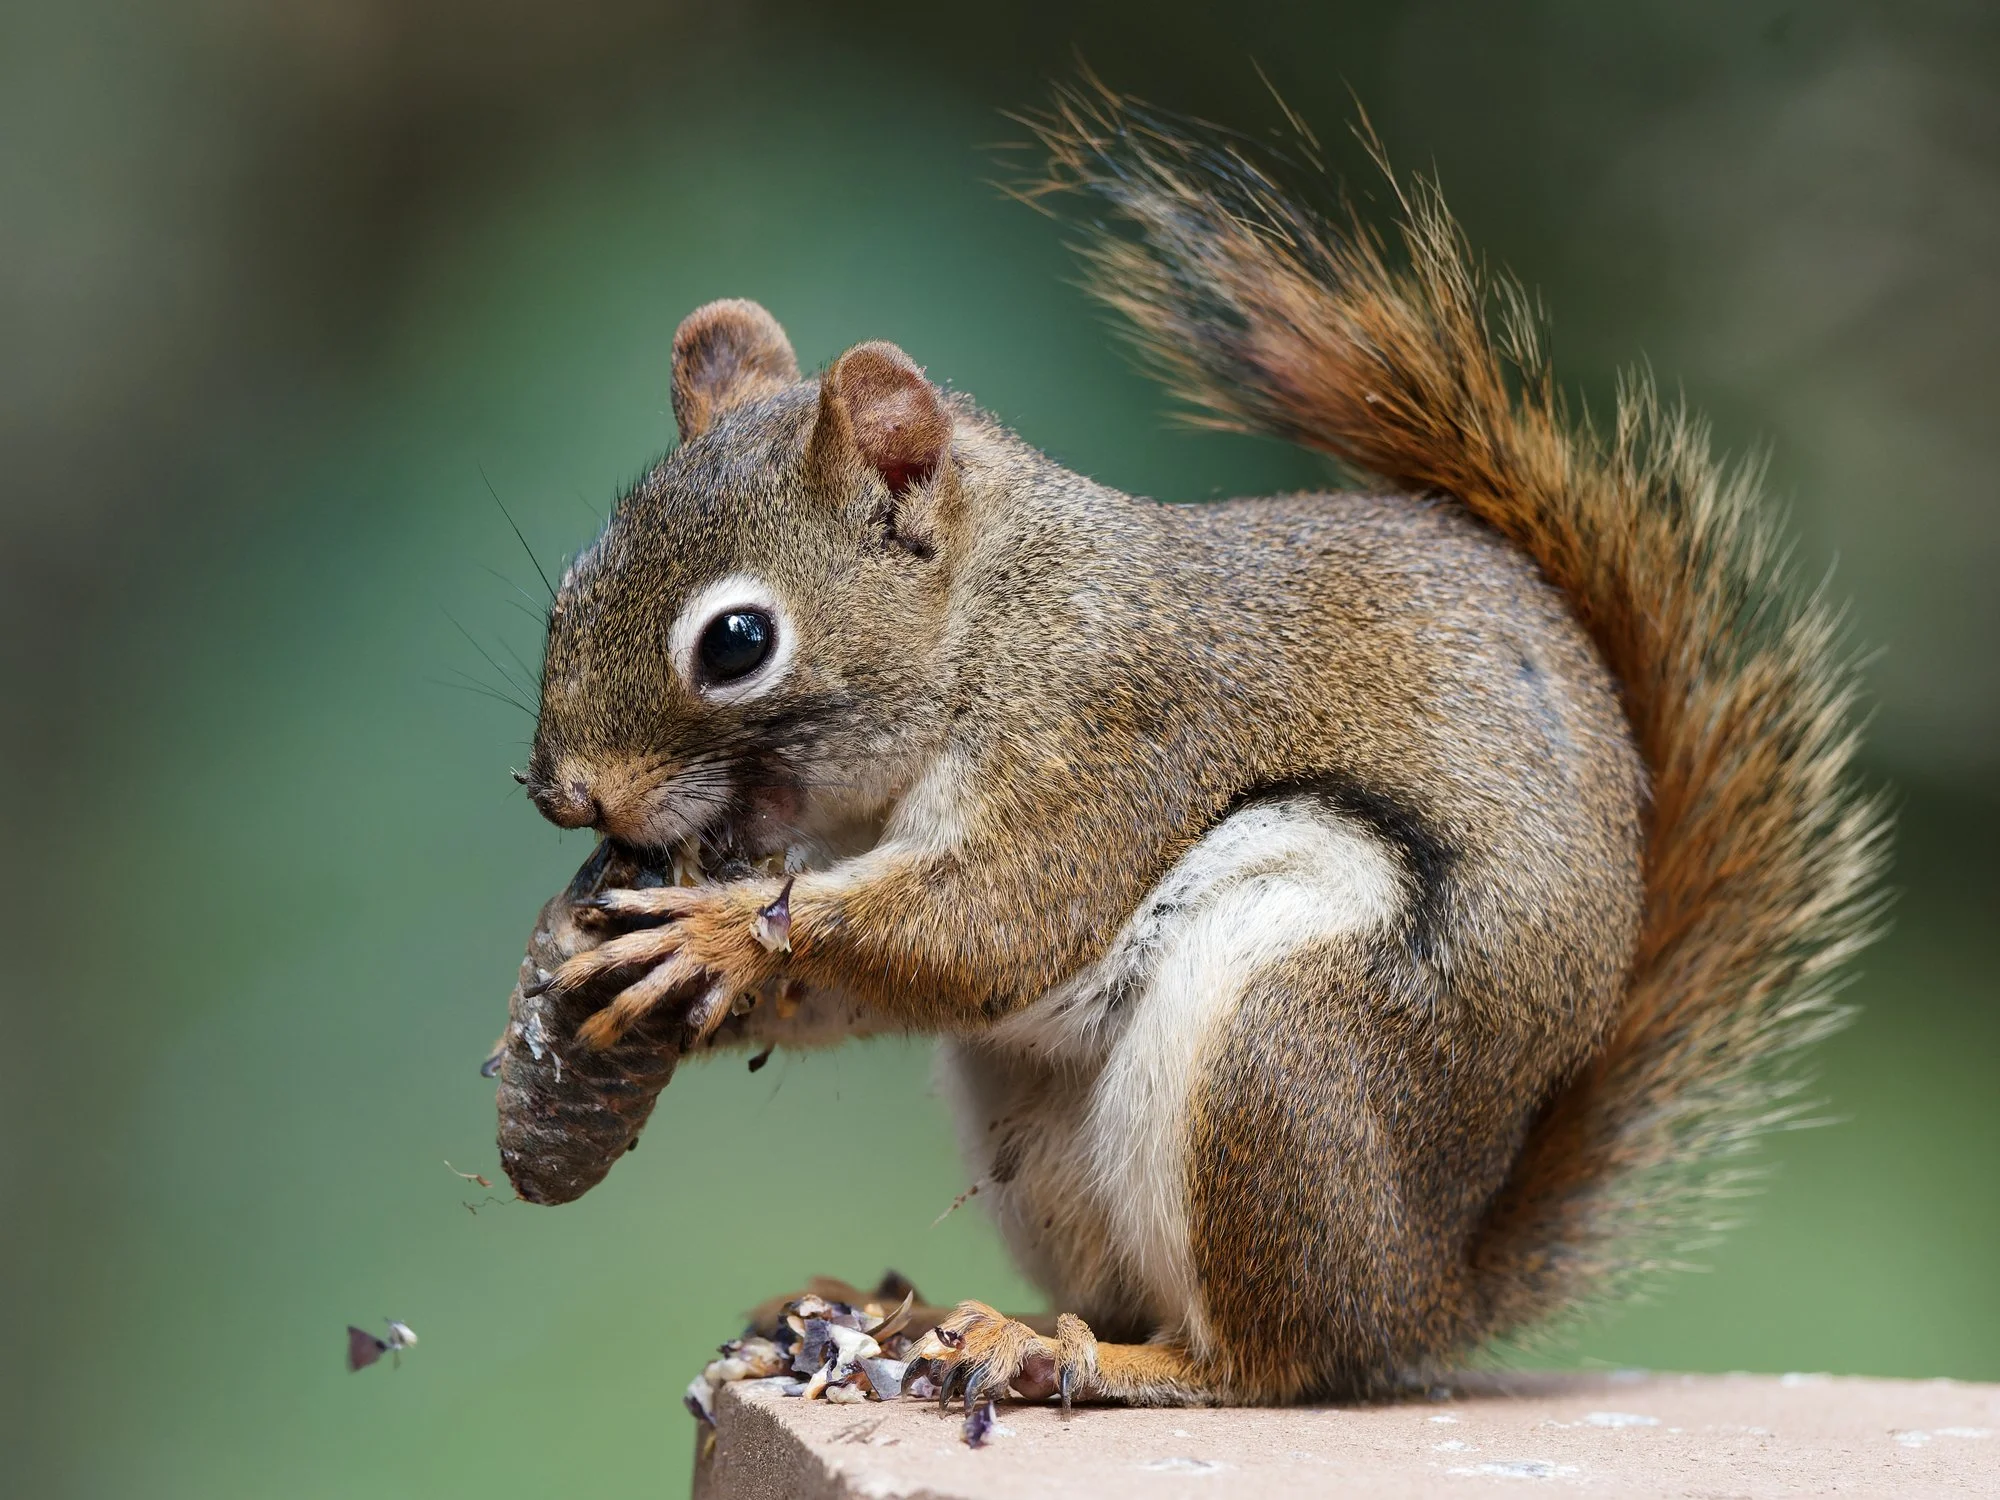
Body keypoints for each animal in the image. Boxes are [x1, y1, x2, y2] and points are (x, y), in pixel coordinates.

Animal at [516, 82, 1886, 1406]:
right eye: (569, 585)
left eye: (737, 641)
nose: (567, 796)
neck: (994, 617)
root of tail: (1417, 1291)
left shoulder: (1105, 734)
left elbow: (993, 925)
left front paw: (708, 936)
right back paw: (925, 1317)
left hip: (1273, 1052)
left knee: (1257, 1362)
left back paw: (1072, 1357)